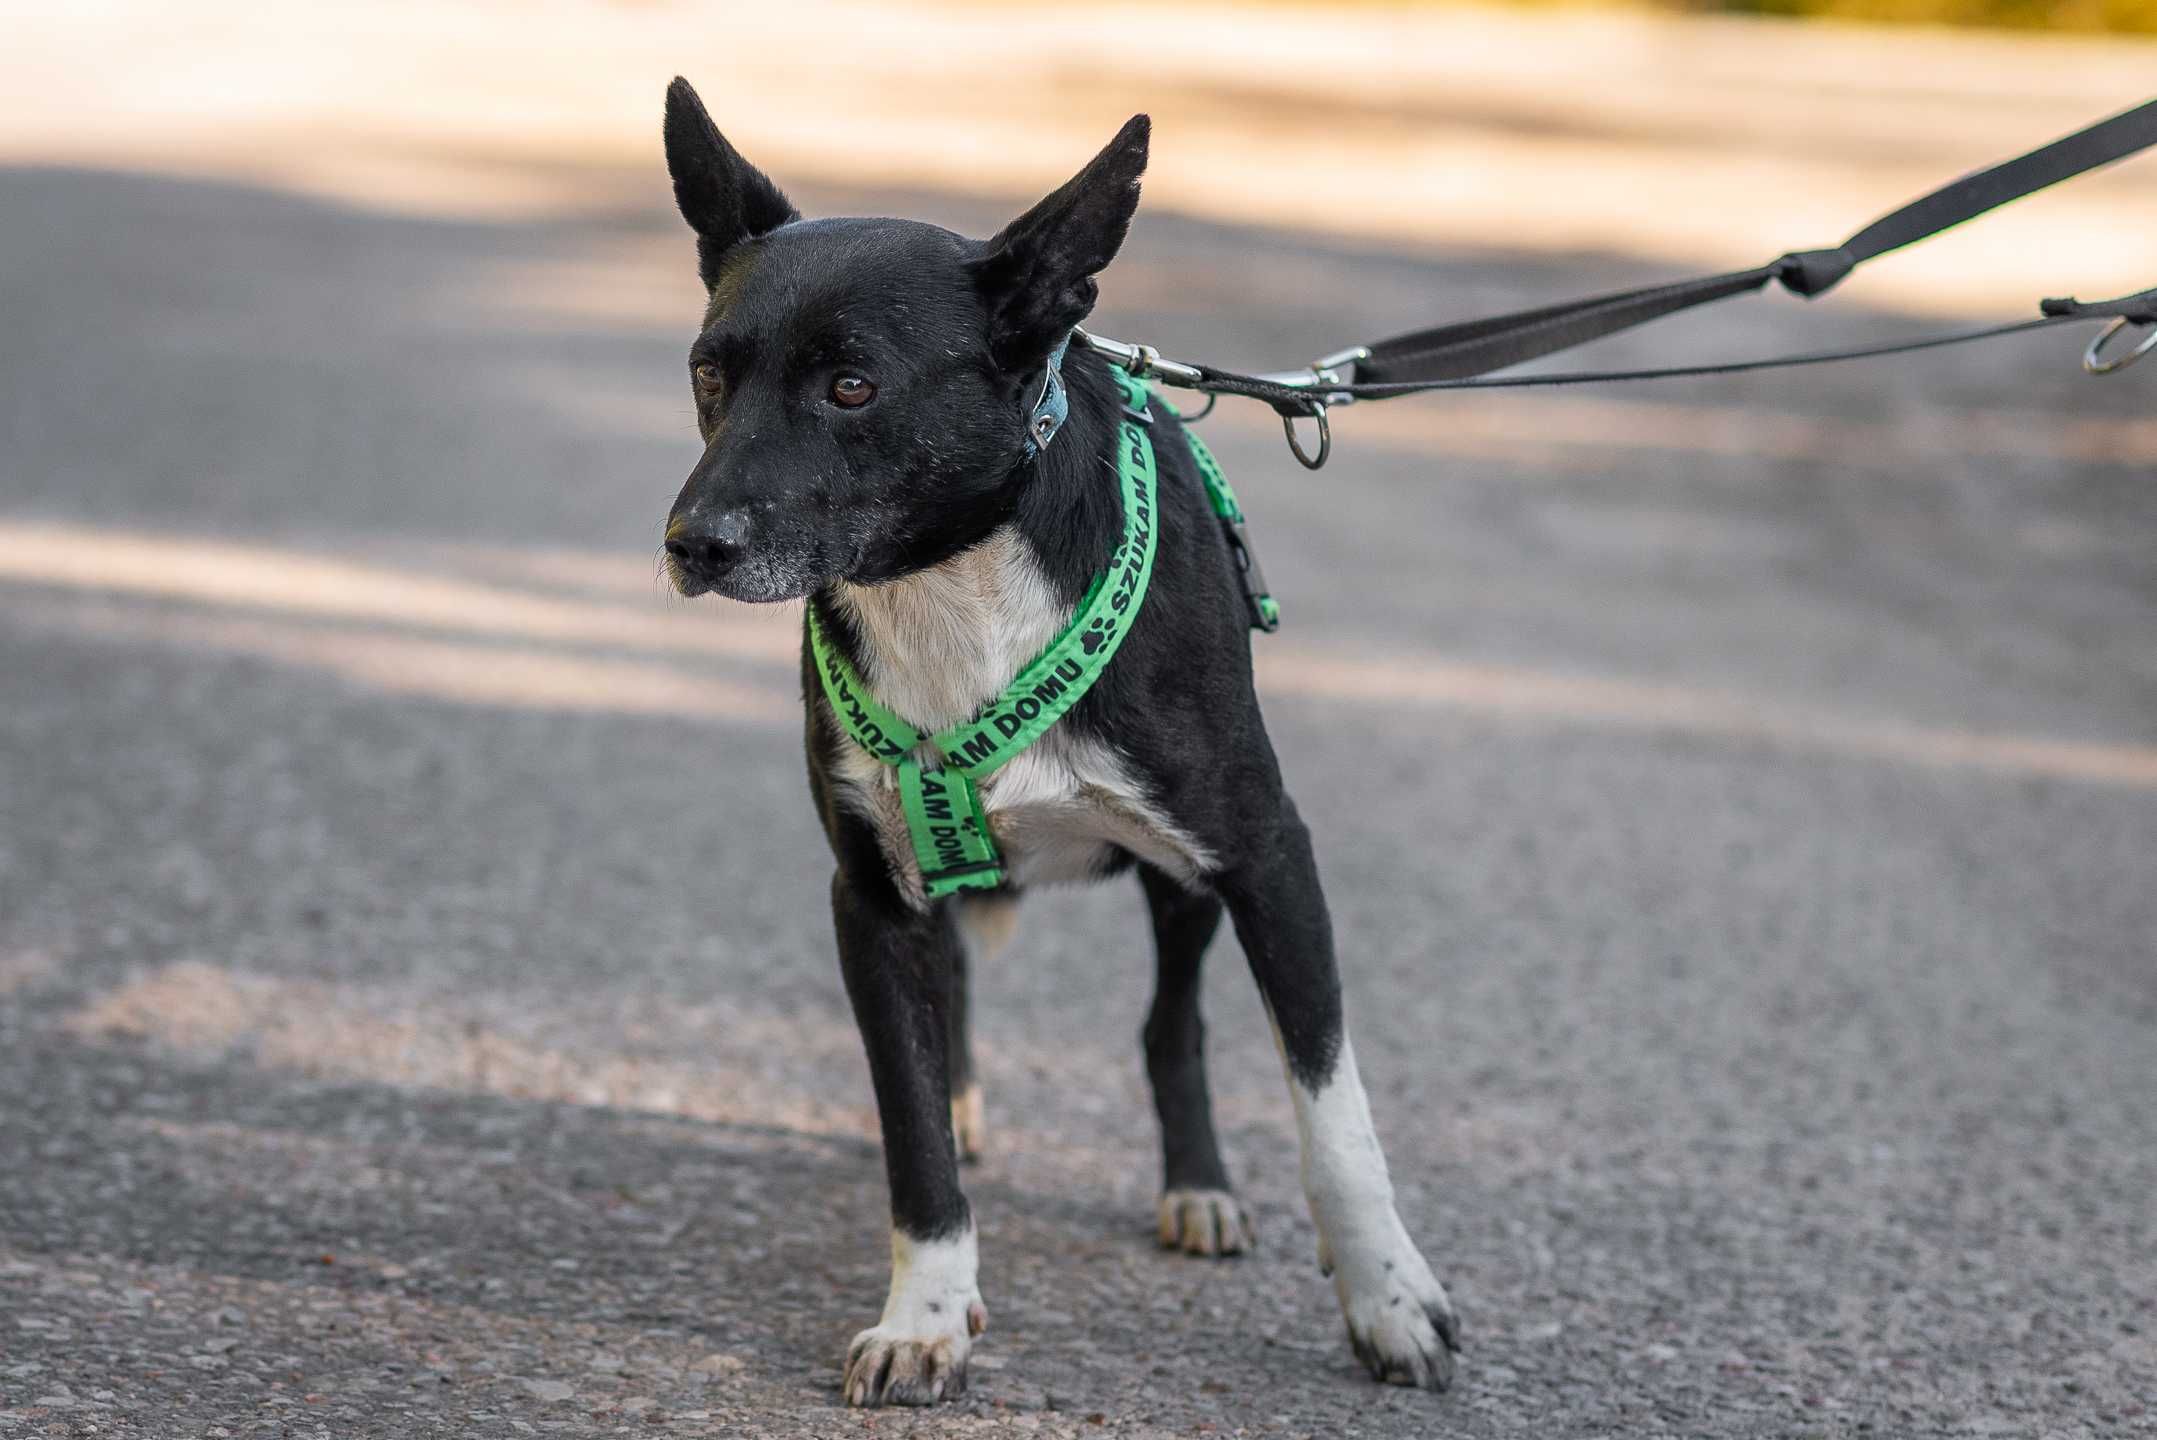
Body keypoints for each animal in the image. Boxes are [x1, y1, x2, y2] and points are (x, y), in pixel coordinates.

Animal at [660, 75, 1466, 1405]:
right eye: (708, 371)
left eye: (852, 386)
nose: (692, 543)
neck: (957, 581)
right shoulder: (869, 896)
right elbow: (913, 1136)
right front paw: (927, 1314)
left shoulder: (1269, 854)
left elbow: (1334, 1113)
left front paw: (1391, 1299)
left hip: (1184, 879)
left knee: (1169, 1026)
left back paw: (1199, 1187)